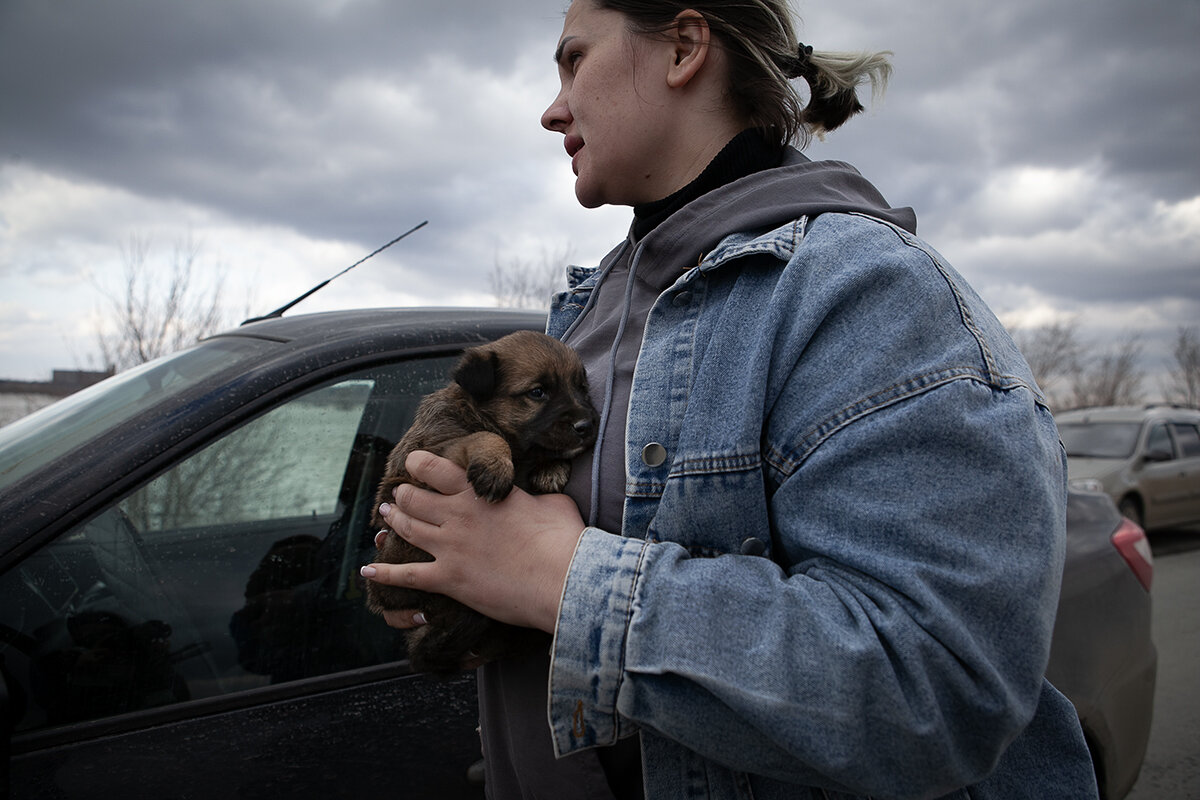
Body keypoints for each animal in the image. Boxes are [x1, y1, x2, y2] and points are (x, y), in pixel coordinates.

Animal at [360, 331, 595, 676]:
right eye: (538, 392)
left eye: (581, 388)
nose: (587, 425)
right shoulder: (433, 452)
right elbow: (484, 437)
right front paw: (496, 465)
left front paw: (551, 468)